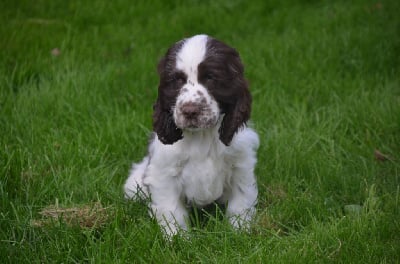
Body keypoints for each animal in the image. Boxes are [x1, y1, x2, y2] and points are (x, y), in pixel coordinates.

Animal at [122, 33, 260, 237]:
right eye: (177, 80)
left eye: (210, 77)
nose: (189, 111)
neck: (202, 136)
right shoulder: (164, 174)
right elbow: (172, 212)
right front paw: (178, 239)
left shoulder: (241, 166)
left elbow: (240, 204)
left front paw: (239, 233)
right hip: (134, 185)